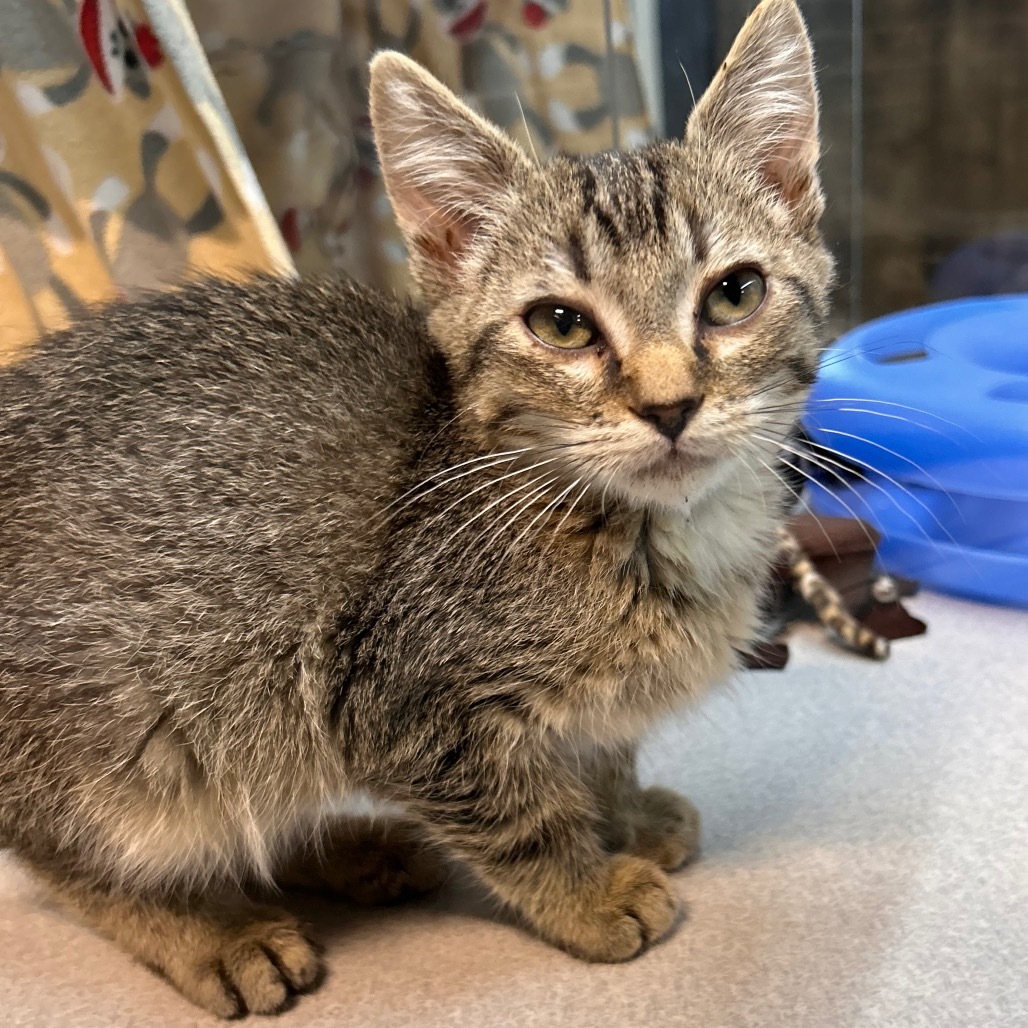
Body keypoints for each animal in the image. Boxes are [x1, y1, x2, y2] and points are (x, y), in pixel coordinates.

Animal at [0, 0, 834, 1011]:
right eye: (560, 324)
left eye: (735, 294)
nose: (669, 404)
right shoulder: (395, 697)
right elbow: (514, 812)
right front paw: (585, 888)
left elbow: (595, 746)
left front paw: (623, 810)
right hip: (144, 741)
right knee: (74, 854)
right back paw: (212, 928)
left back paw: (344, 852)